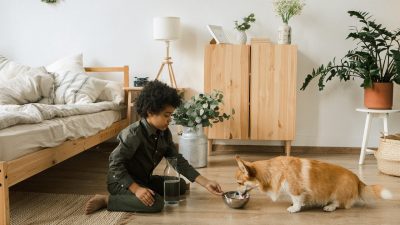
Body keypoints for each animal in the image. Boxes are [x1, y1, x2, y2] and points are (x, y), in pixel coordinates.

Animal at [236, 156, 392, 212]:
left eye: (239, 183)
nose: (237, 193)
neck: (271, 171)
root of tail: (357, 179)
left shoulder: (296, 190)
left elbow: (297, 200)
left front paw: (294, 208)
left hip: (337, 192)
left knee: (339, 203)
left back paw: (329, 207)